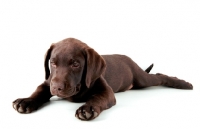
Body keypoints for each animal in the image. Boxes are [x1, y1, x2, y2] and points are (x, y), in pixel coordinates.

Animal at [12, 37, 192, 120]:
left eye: (75, 64)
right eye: (53, 63)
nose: (56, 88)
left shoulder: (106, 91)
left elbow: (97, 98)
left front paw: (87, 109)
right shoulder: (47, 82)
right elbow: (39, 91)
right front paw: (26, 101)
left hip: (141, 79)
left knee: (159, 76)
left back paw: (184, 84)